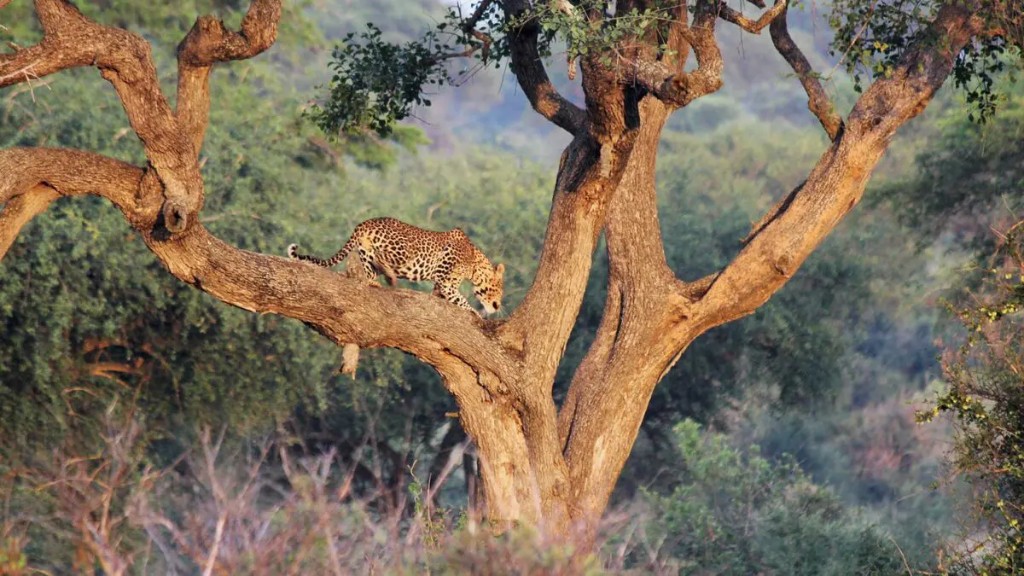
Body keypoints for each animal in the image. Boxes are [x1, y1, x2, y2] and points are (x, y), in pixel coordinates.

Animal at [287, 217, 505, 315]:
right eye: (499, 289)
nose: (497, 305)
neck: (474, 265)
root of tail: (365, 223)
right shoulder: (445, 280)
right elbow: (460, 298)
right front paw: (475, 312)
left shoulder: (443, 284)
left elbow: (442, 295)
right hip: (401, 251)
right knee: (381, 260)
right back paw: (387, 276)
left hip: (366, 249)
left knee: (369, 268)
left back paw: (376, 280)